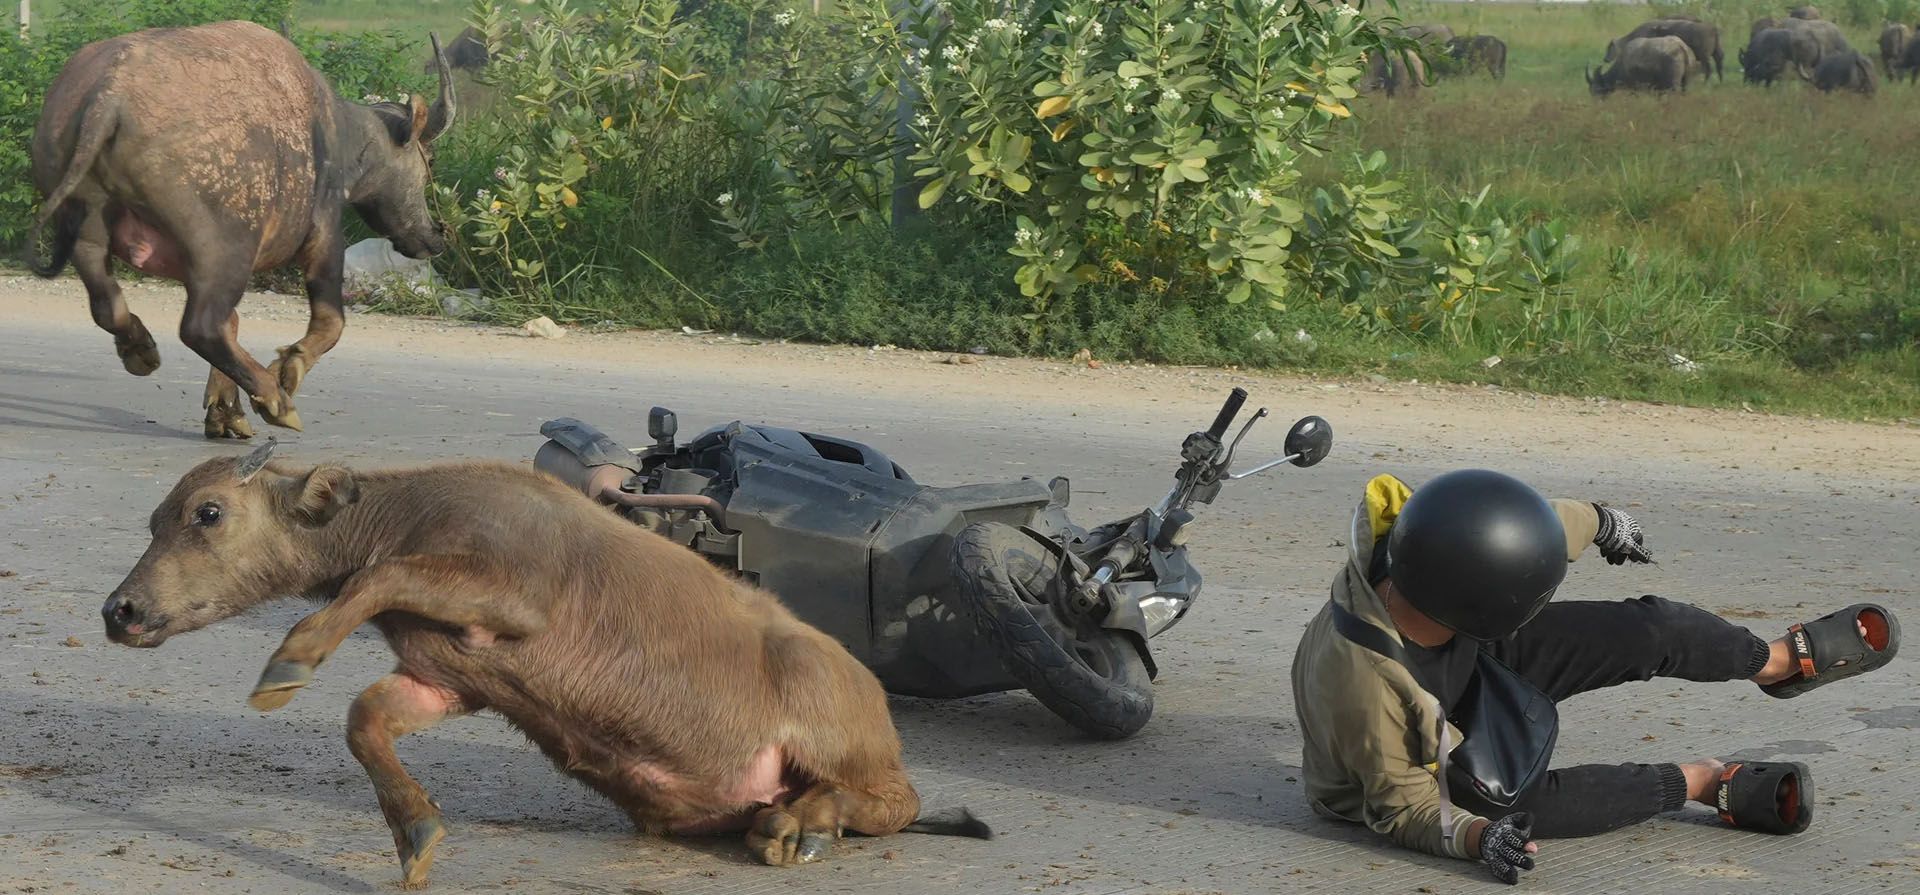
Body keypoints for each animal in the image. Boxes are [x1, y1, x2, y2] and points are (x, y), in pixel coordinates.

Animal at [29, 21, 456, 439]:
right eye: (429, 158)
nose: (434, 236)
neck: (335, 131)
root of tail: (109, 95)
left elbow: (234, 323)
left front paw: (224, 411)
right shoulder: (325, 234)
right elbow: (330, 321)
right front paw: (287, 370)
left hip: (90, 231)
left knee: (110, 305)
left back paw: (140, 349)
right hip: (226, 249)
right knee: (201, 326)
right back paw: (276, 400)